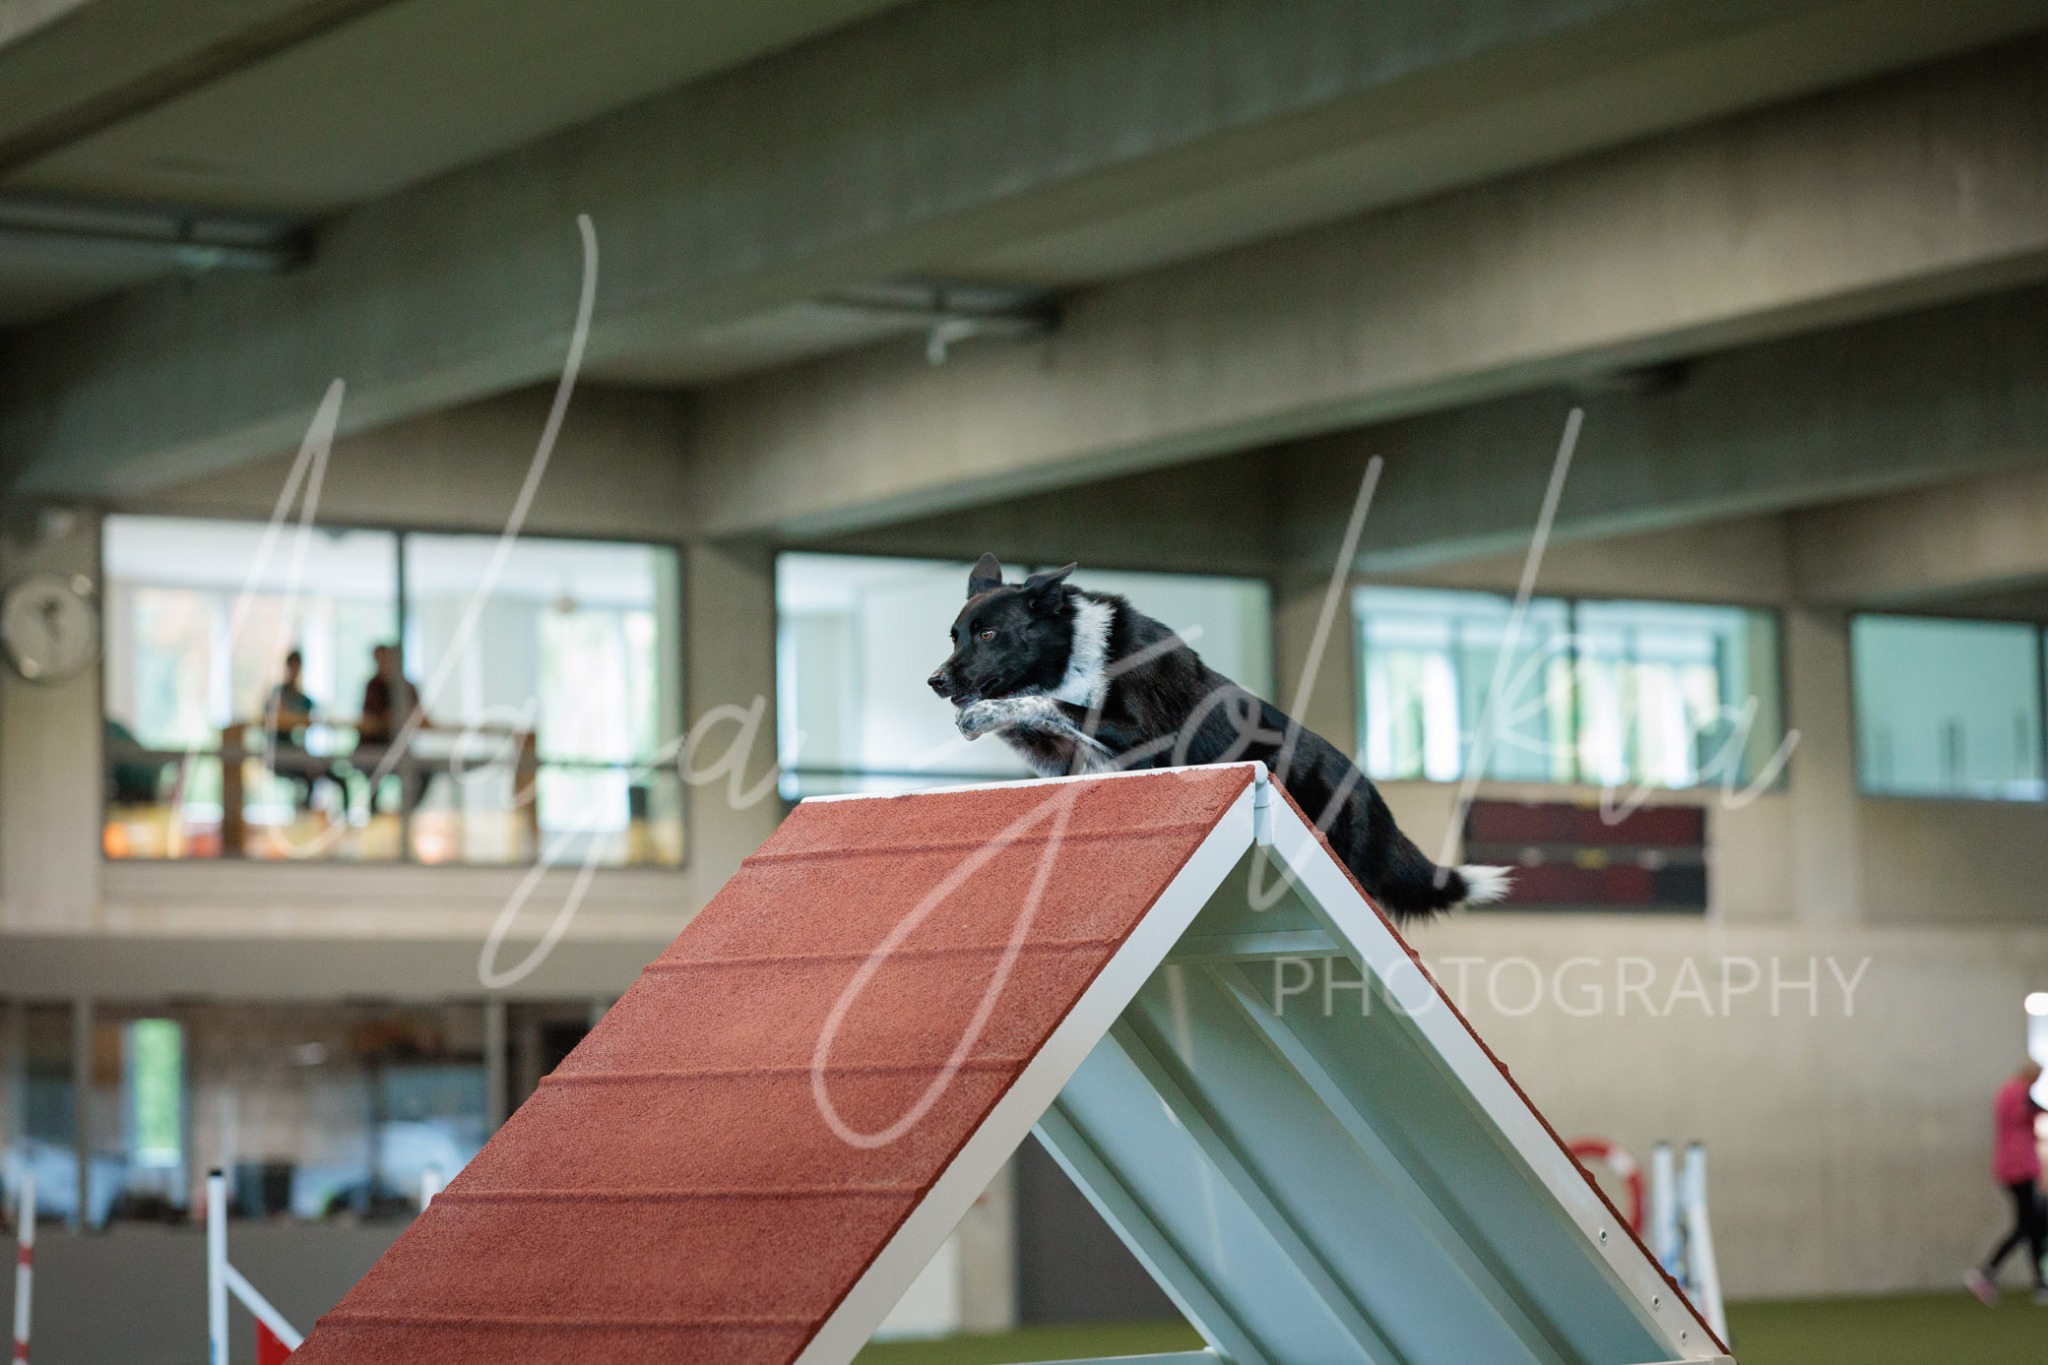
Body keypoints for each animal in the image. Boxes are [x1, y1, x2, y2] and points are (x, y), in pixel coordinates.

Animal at [926, 554, 1509, 920]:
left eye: (988, 634)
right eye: (954, 636)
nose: (935, 681)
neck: (1070, 648)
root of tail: (1372, 796)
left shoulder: (1142, 733)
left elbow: (1049, 703)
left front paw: (982, 714)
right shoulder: (1064, 757)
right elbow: (1036, 714)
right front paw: (981, 717)